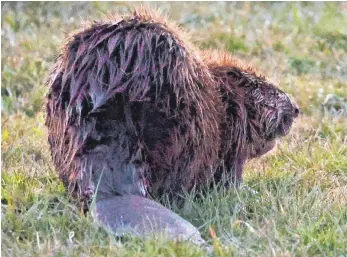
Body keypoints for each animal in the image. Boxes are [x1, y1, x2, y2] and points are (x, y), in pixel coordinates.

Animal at [44, 8, 300, 242]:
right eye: (267, 90)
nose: (296, 109)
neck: (225, 97)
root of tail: (111, 193)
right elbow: (230, 179)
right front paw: (252, 191)